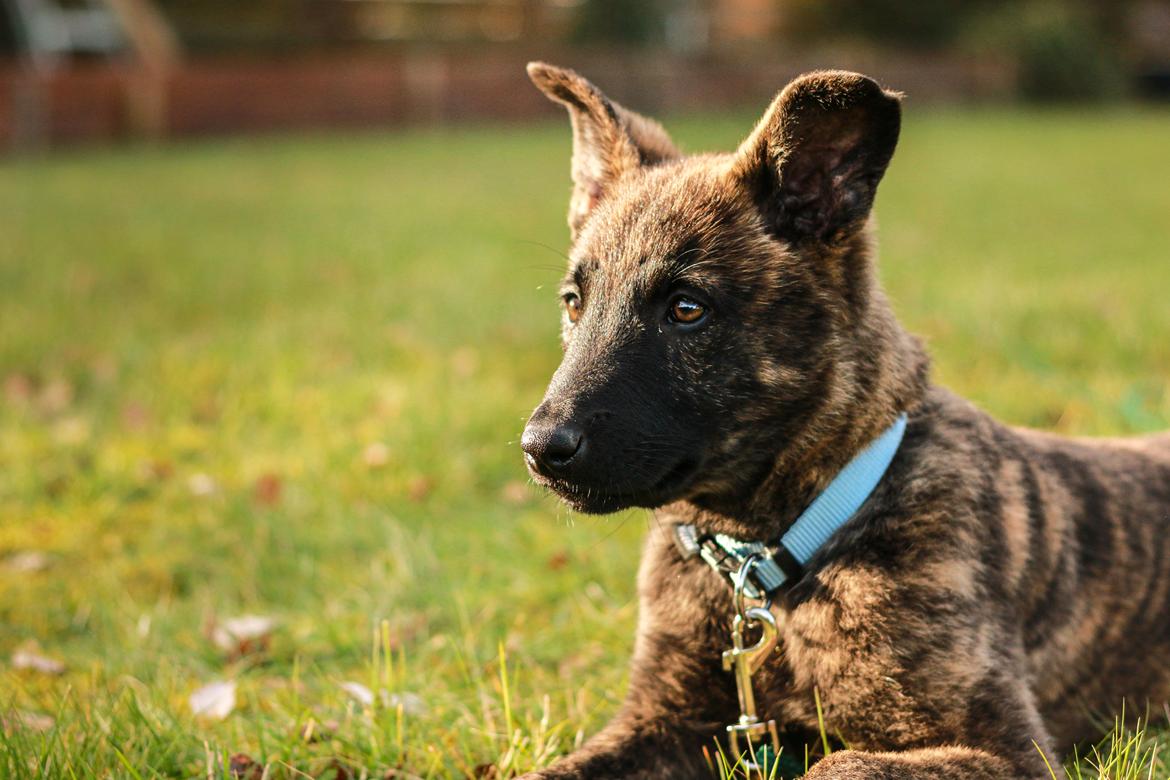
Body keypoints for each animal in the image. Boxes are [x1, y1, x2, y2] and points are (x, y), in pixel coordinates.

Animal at [519, 64, 1170, 776]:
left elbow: (837, 763)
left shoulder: (1008, 748)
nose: (540, 447)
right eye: (574, 303)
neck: (772, 553)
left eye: (687, 309)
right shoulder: (662, 718)